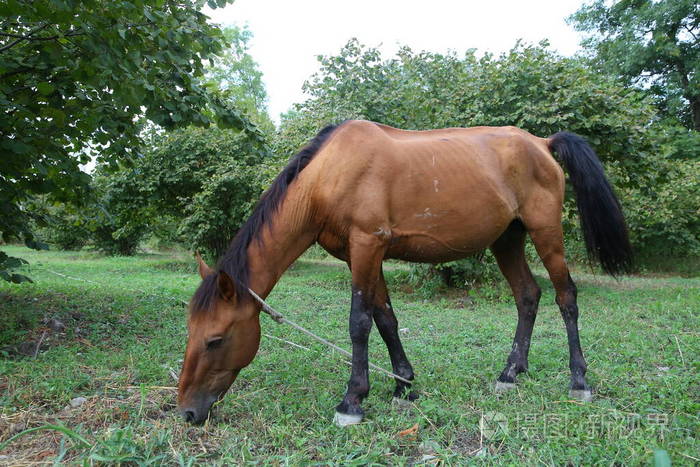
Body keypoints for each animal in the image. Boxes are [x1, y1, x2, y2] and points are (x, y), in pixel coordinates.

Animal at [177, 120, 632, 426]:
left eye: (215, 339)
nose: (186, 412)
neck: (329, 175)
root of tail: (542, 143)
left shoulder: (367, 245)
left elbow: (359, 323)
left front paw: (353, 401)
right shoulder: (362, 254)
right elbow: (385, 319)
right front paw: (404, 385)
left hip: (545, 231)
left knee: (565, 297)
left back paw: (579, 381)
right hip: (508, 239)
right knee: (527, 296)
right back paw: (510, 373)